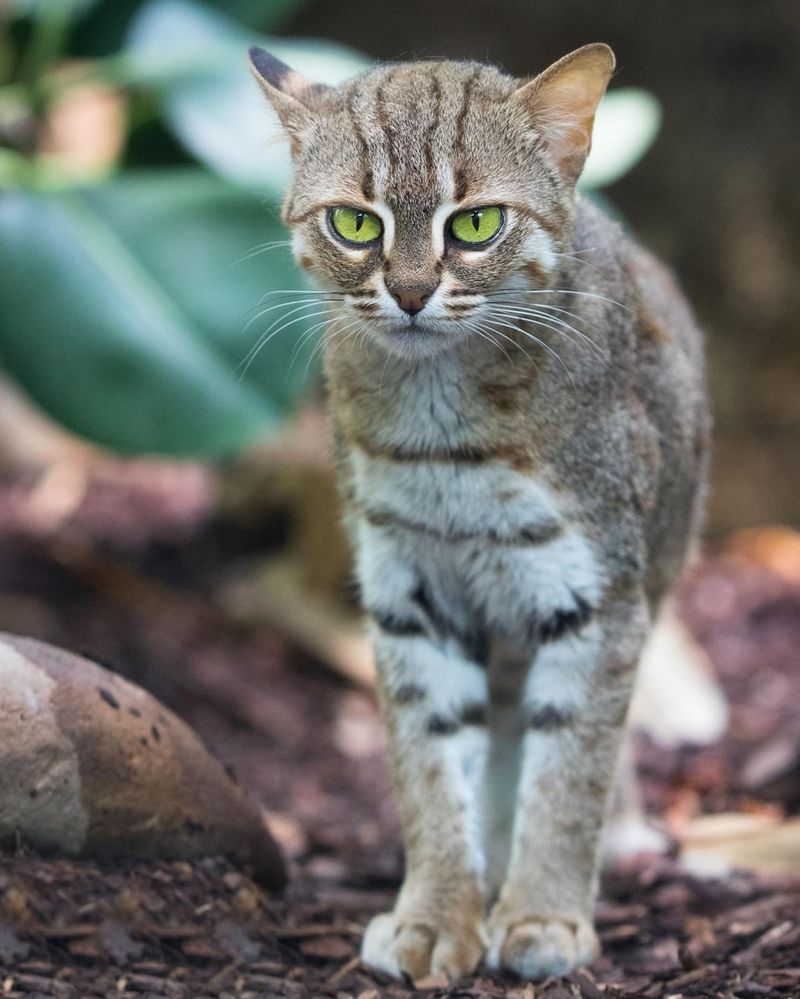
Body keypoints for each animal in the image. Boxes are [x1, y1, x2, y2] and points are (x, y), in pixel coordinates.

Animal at [248, 45, 708, 984]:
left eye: (476, 225)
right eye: (355, 225)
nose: (411, 293)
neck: (441, 429)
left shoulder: (597, 594)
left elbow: (571, 768)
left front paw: (544, 912)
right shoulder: (408, 588)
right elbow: (429, 763)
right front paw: (436, 912)